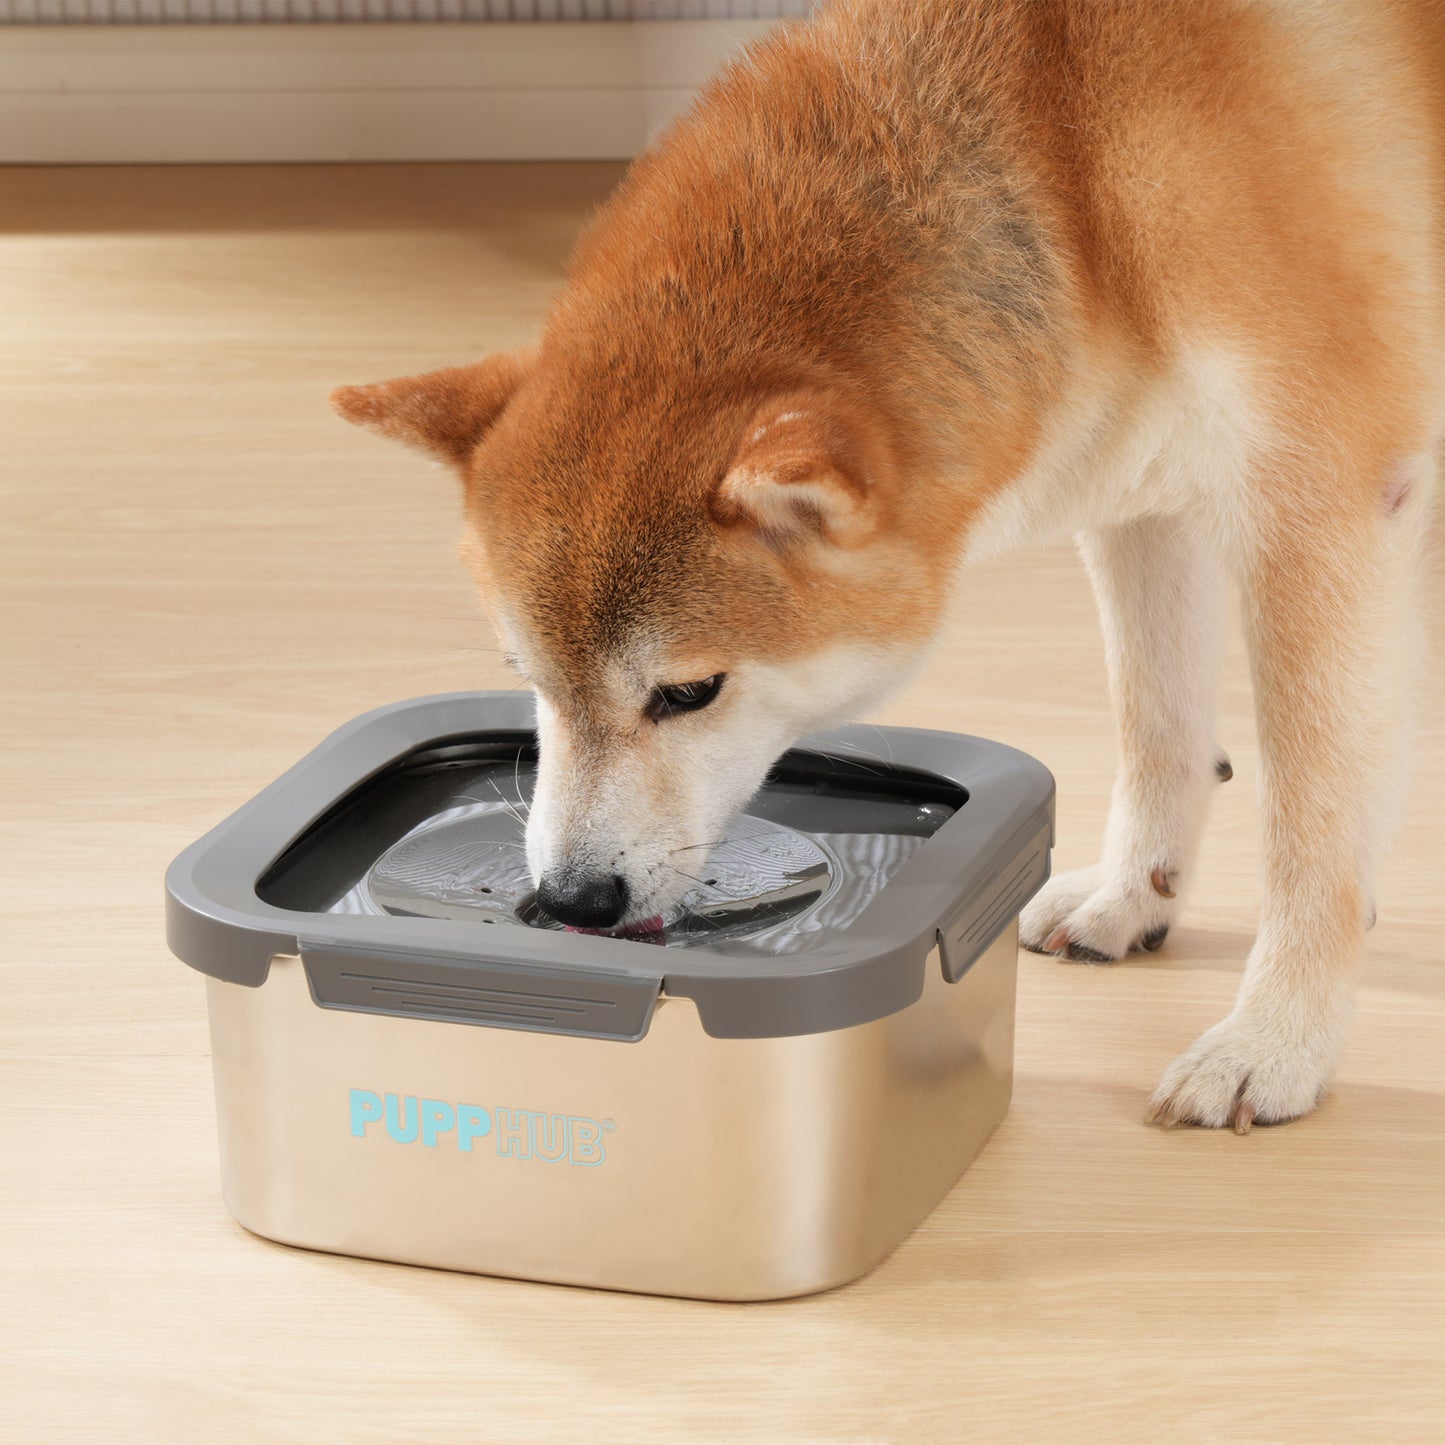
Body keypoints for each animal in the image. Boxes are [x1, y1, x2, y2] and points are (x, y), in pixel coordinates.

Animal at [335, 0, 1433, 1127]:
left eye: (687, 692)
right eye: (531, 680)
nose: (571, 899)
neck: (1074, 163)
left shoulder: (1324, 511)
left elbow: (1307, 827)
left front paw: (1274, 1039)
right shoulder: (1148, 491)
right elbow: (1157, 730)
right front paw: (1133, 893)